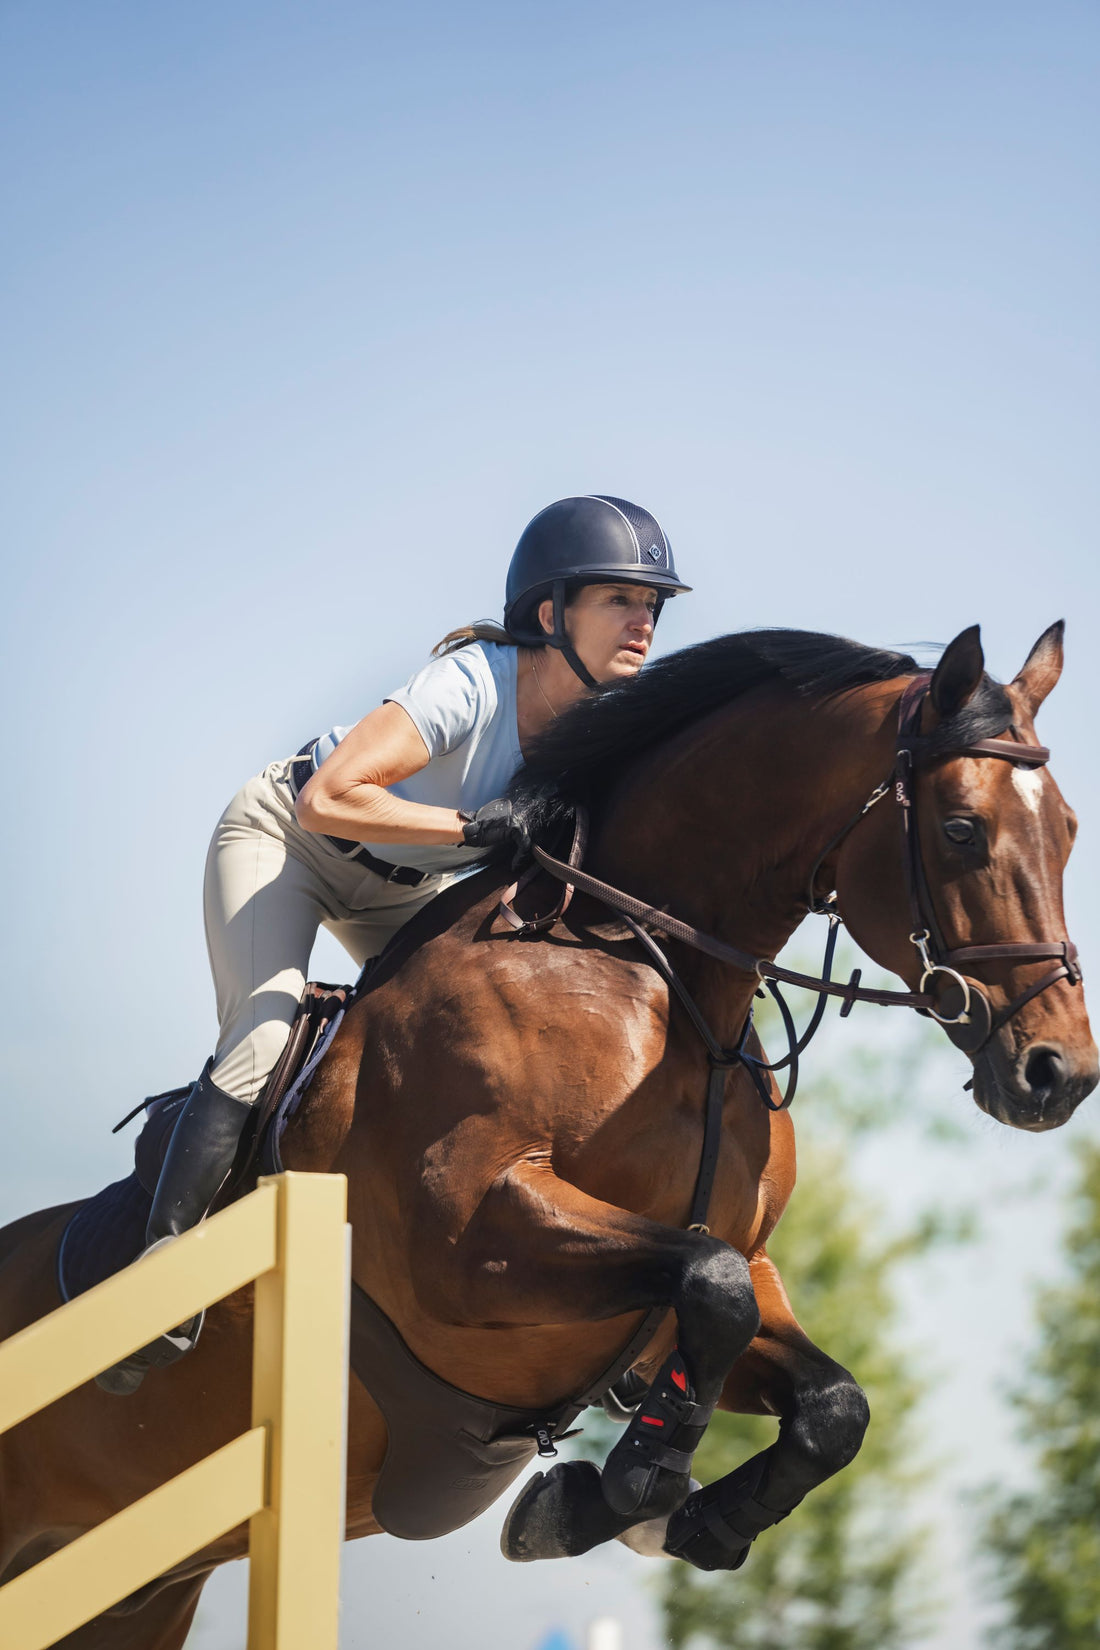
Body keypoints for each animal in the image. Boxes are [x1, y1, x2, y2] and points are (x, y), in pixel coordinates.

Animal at [0, 620, 1095, 1650]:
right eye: (960, 829)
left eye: (1069, 830)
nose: (1060, 1075)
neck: (660, 988)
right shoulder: (469, 1244)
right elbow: (710, 1286)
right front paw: (627, 1487)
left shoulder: (717, 1273)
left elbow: (825, 1398)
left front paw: (672, 1518)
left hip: (137, 1596)